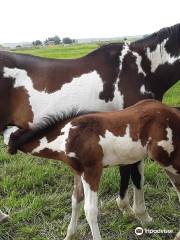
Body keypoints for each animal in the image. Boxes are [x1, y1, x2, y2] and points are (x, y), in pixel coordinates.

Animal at [2, 99, 180, 240]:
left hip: (169, 160)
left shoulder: (92, 171)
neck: (67, 137)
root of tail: (174, 110)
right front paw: (69, 235)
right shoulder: (78, 172)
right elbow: (76, 200)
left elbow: (90, 210)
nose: (7, 151)